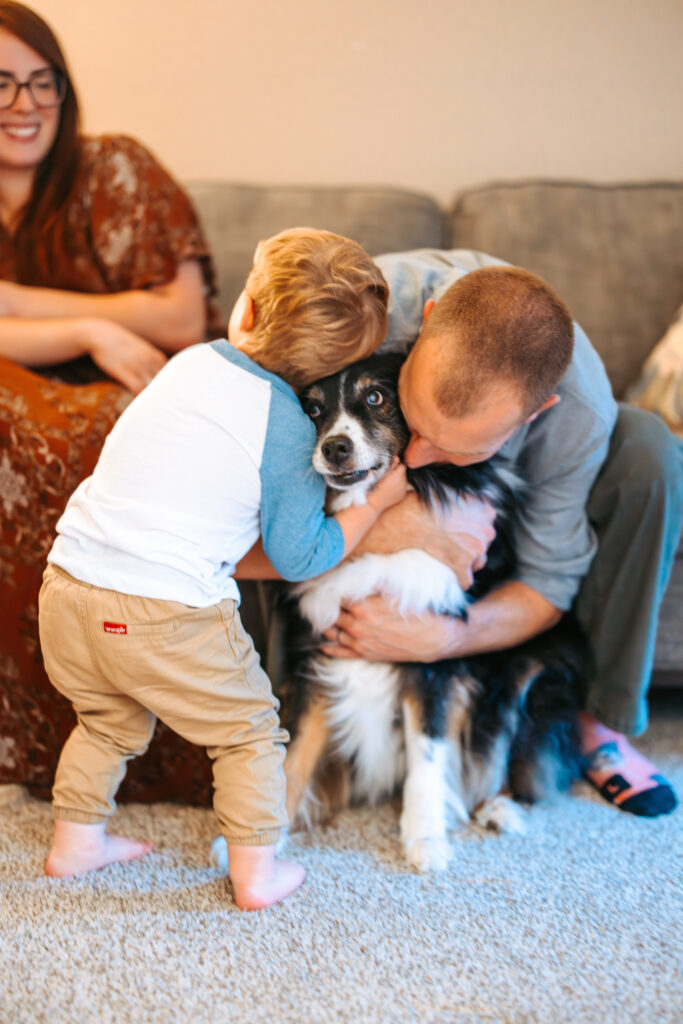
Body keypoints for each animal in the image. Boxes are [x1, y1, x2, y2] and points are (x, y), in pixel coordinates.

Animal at [278, 354, 589, 872]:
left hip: (523, 675)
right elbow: (296, 752)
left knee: (509, 754)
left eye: (376, 397)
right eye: (312, 408)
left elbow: (426, 754)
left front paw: (424, 840)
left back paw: (499, 808)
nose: (334, 448)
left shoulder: (430, 658)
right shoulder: (319, 652)